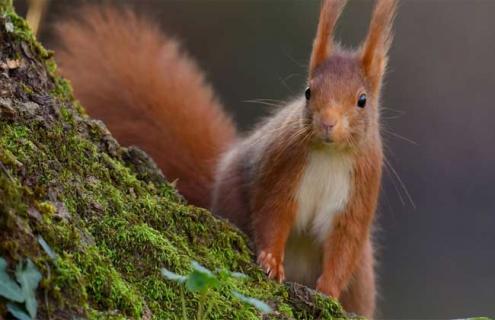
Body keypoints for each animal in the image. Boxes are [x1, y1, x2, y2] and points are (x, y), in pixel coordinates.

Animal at [56, 0, 400, 316]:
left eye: (362, 100)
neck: (330, 155)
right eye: (308, 92)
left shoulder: (359, 193)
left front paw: (328, 291)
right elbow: (273, 214)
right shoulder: (282, 167)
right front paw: (271, 261)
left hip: (362, 278)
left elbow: (344, 246)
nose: (327, 122)